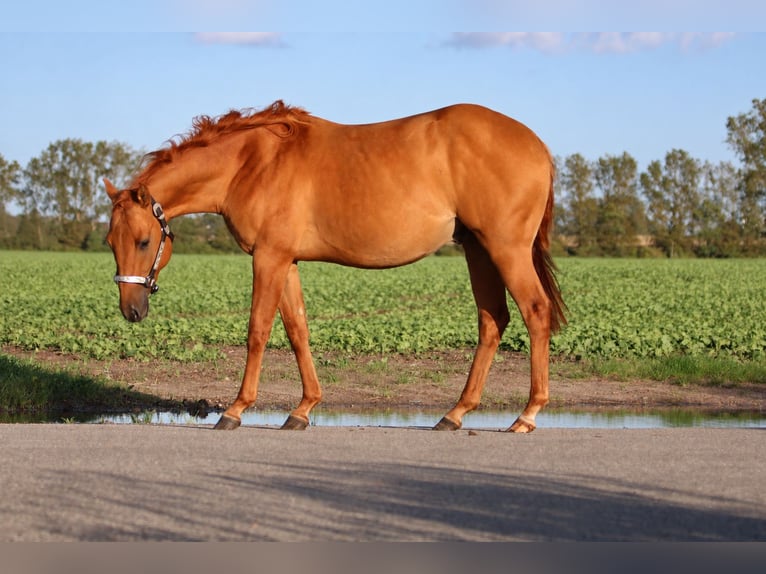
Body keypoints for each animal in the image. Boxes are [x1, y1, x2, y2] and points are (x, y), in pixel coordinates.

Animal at [105, 100, 566, 433]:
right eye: (111, 242)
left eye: (144, 241)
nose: (131, 309)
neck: (253, 162)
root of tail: (537, 144)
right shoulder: (286, 261)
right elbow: (298, 332)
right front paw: (303, 409)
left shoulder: (269, 258)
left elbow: (257, 331)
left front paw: (235, 410)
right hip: (478, 250)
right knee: (493, 321)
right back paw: (456, 413)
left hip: (505, 249)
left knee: (535, 312)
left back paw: (527, 415)